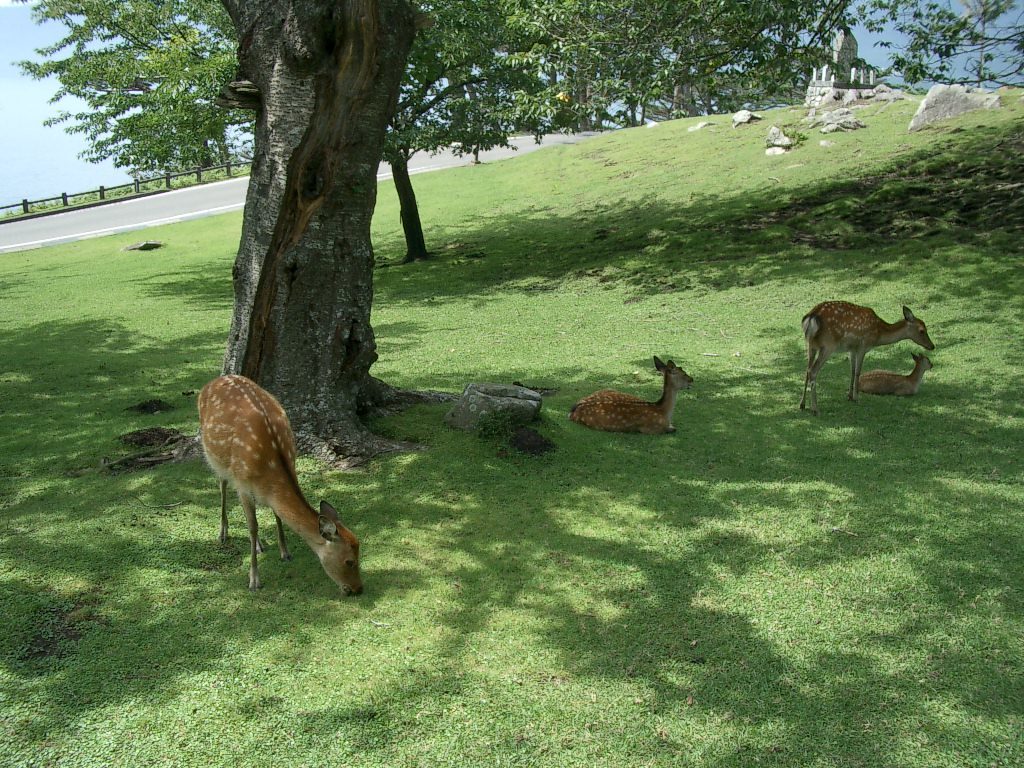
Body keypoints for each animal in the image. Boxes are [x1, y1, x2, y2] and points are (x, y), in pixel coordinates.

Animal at [197, 376, 362, 598]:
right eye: (349, 561)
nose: (358, 588)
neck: (271, 465)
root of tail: (216, 379)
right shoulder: (242, 483)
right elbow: (253, 526)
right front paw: (254, 580)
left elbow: (275, 515)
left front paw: (285, 552)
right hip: (214, 456)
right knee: (222, 484)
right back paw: (223, 533)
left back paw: (259, 545)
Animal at [798, 301, 937, 415]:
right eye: (922, 330)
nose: (932, 346)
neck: (878, 335)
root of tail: (811, 317)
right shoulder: (863, 345)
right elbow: (858, 372)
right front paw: (856, 398)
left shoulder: (852, 348)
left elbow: (852, 371)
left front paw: (849, 396)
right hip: (828, 345)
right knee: (813, 371)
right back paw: (815, 409)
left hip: (810, 344)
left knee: (807, 370)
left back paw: (802, 404)